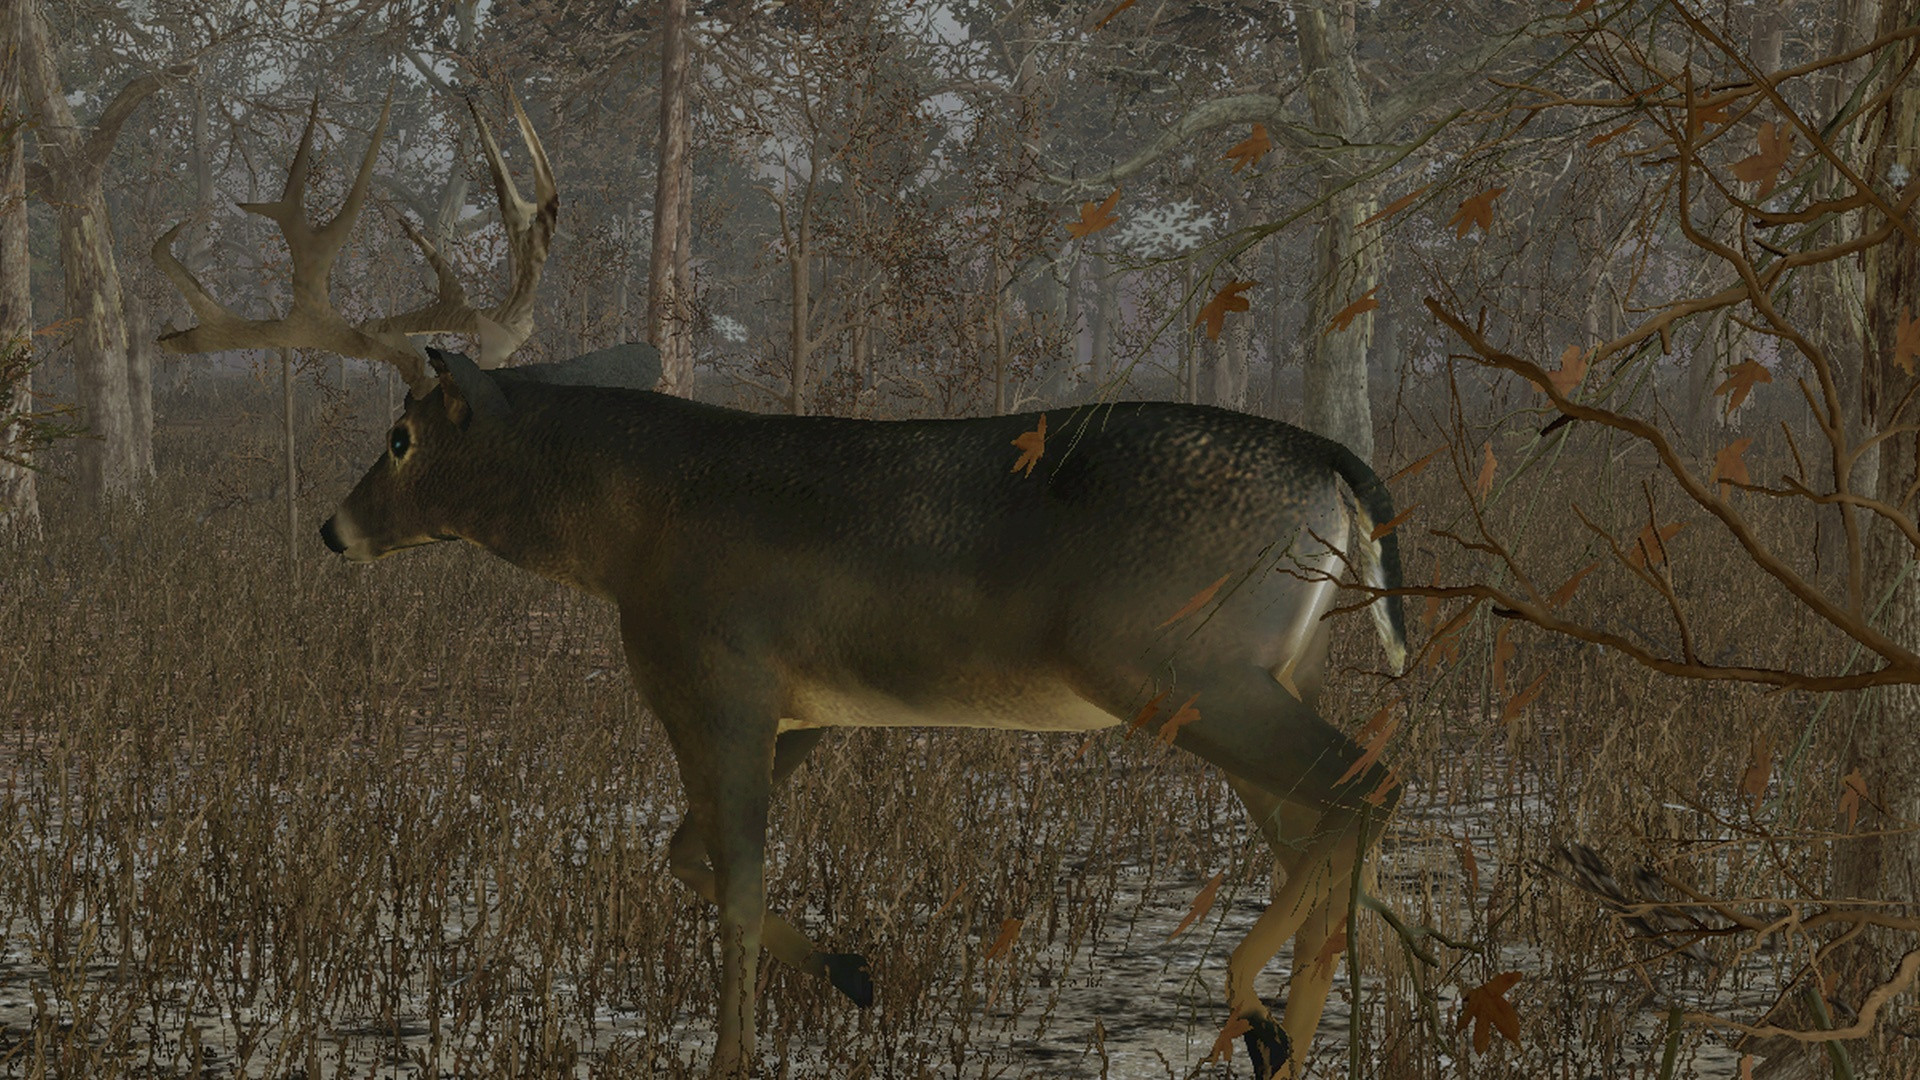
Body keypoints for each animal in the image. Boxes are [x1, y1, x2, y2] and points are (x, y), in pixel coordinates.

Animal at [154, 92, 1413, 1080]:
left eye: (402, 437)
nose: (334, 528)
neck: (633, 525)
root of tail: (1336, 467)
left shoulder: (716, 675)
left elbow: (735, 881)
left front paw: (738, 1052)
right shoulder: (810, 707)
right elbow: (688, 855)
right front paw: (854, 973)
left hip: (1174, 659)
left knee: (1364, 787)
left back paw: (1255, 1004)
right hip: (1265, 663)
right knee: (1331, 824)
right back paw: (1304, 1032)